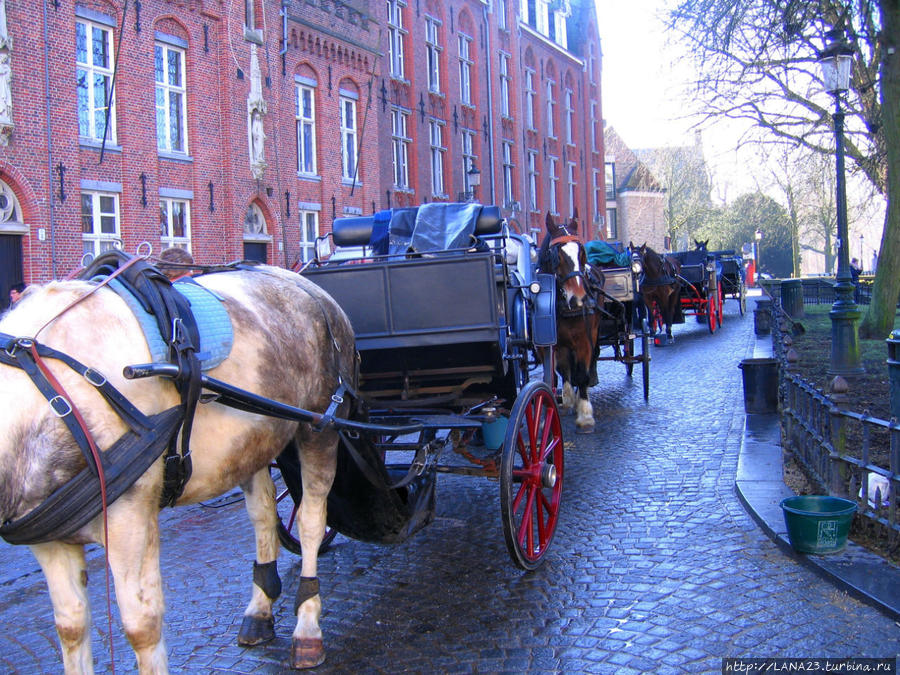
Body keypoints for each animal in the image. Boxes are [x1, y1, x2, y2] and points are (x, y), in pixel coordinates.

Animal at [0, 262, 356, 672]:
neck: (48, 395)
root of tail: (306, 285)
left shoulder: (130, 521)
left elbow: (142, 627)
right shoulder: (49, 540)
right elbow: (70, 627)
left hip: (319, 429)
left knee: (311, 520)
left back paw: (308, 627)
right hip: (252, 440)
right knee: (264, 514)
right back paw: (260, 608)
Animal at [536, 211, 600, 434]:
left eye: (582, 252)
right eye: (557, 255)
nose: (580, 299)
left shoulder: (584, 341)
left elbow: (582, 375)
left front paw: (586, 415)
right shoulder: (545, 345)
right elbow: (553, 376)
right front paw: (547, 415)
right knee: (565, 370)